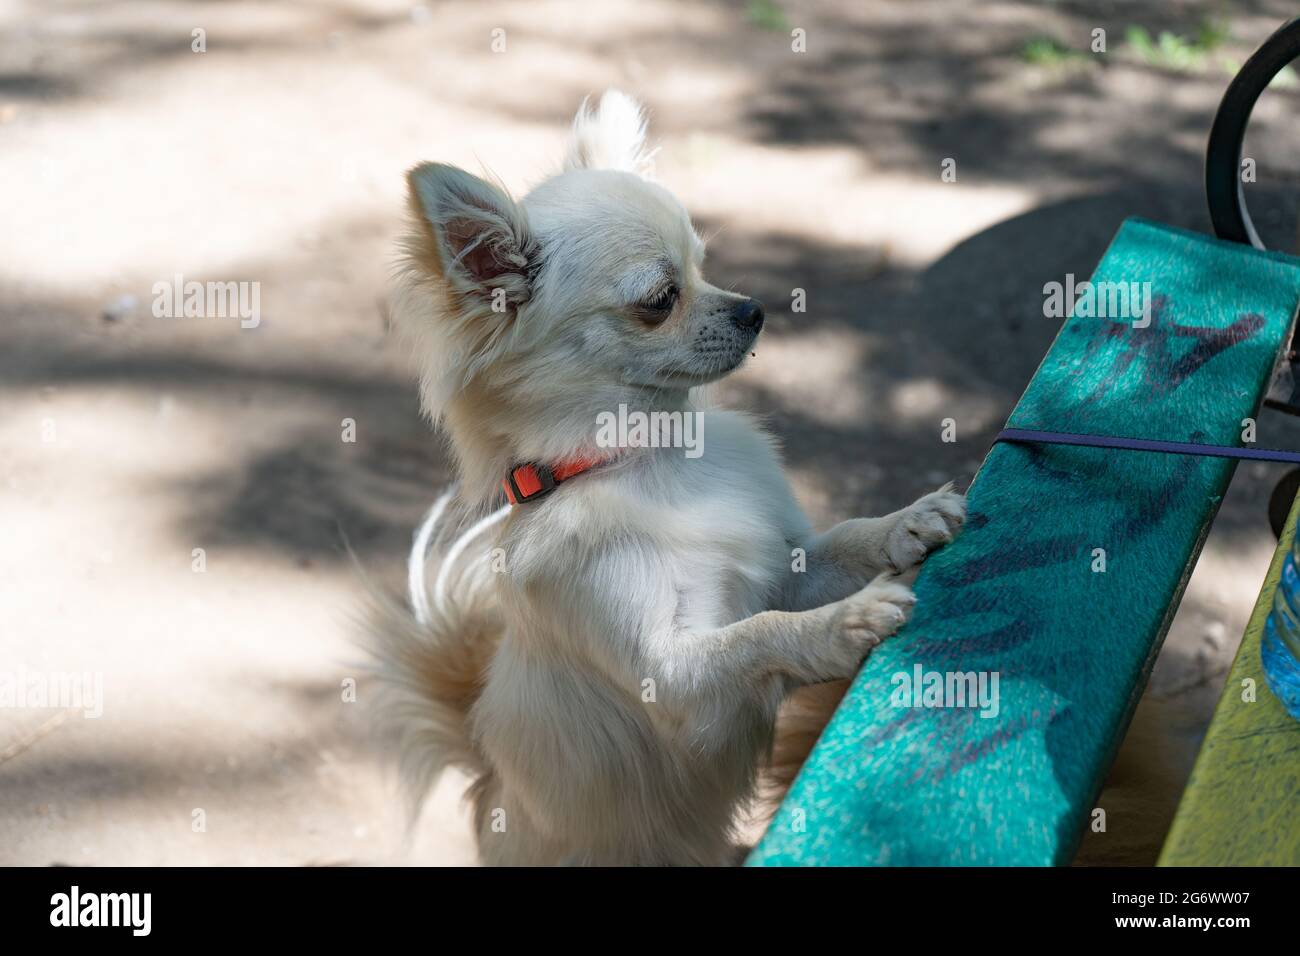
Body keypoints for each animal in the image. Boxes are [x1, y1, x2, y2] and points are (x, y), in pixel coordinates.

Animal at [369, 91, 967, 868]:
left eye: (706, 266)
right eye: (660, 298)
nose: (753, 309)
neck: (654, 461)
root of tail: (488, 778)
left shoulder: (783, 568)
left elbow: (840, 546)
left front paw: (908, 521)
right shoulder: (677, 676)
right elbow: (762, 634)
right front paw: (848, 621)